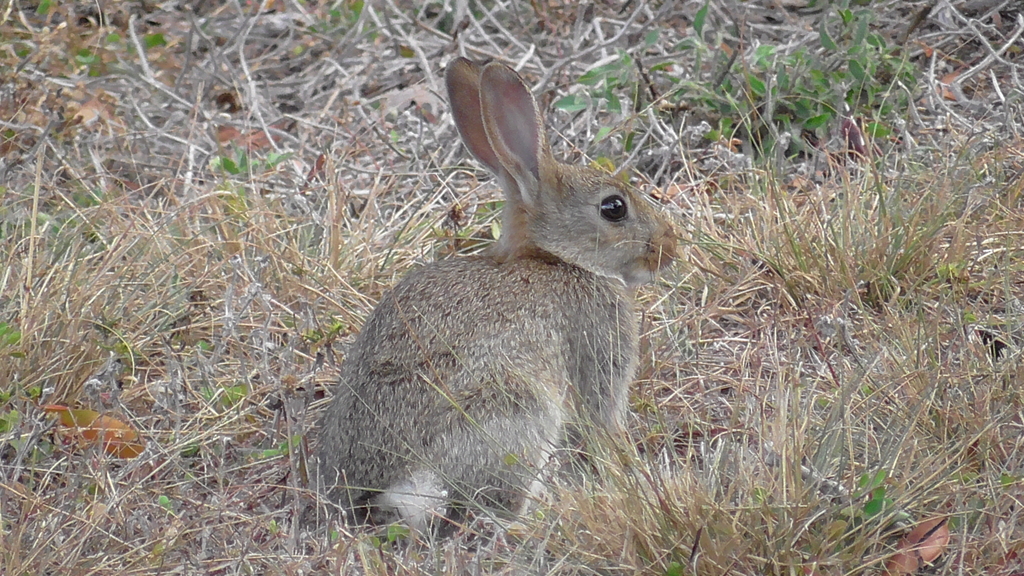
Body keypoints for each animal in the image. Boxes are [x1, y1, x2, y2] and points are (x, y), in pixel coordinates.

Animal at [314, 56, 678, 533]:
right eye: (613, 208)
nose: (670, 247)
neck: (558, 258)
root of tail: (393, 486)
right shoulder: (598, 356)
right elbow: (602, 418)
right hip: (520, 413)